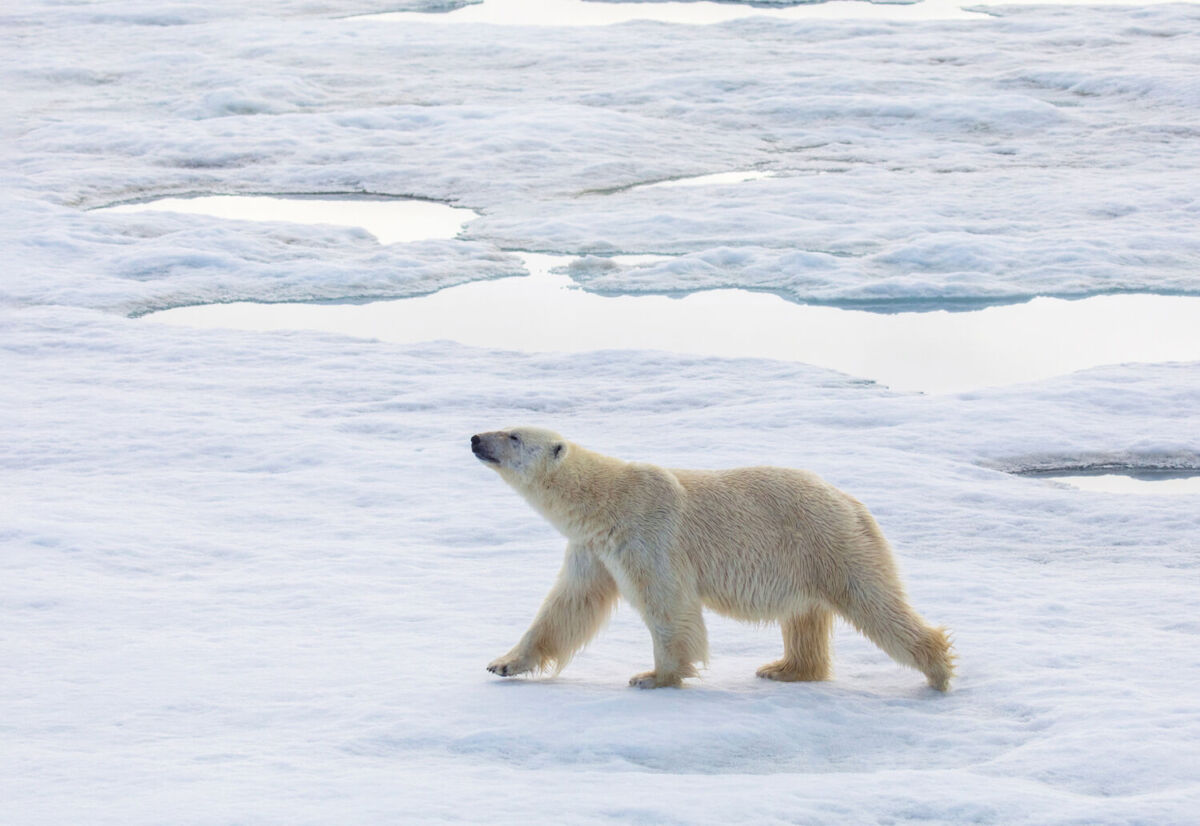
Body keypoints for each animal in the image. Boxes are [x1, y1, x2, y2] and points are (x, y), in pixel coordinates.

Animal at [471, 427, 955, 691]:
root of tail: (853, 502)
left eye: (514, 435)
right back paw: (783, 668)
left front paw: (653, 676)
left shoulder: (648, 536)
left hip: (828, 542)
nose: (475, 438)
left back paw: (938, 670)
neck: (607, 501)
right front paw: (503, 663)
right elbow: (567, 606)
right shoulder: (592, 550)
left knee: (873, 602)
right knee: (805, 617)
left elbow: (668, 605)